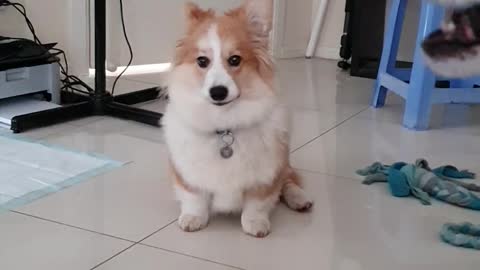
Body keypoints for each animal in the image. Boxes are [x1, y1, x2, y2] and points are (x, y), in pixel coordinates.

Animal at [163, 0, 314, 237]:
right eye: (202, 61)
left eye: (235, 60)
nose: (218, 92)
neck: (225, 125)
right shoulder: (186, 173)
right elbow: (194, 196)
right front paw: (193, 218)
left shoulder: (267, 172)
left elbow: (258, 202)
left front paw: (255, 223)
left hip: (284, 162)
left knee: (288, 180)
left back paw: (299, 199)